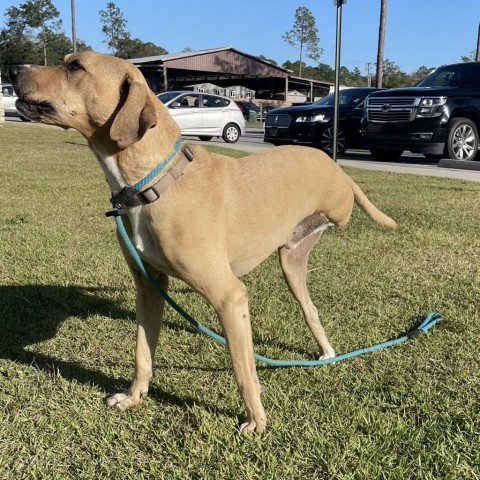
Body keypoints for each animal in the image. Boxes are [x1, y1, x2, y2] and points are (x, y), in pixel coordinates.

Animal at [10, 50, 398, 434]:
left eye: (76, 66)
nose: (13, 68)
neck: (156, 183)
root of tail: (334, 166)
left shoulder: (230, 297)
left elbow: (243, 369)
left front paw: (256, 419)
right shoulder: (149, 288)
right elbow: (142, 353)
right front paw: (134, 397)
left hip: (323, 225)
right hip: (291, 261)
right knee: (311, 309)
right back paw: (328, 352)